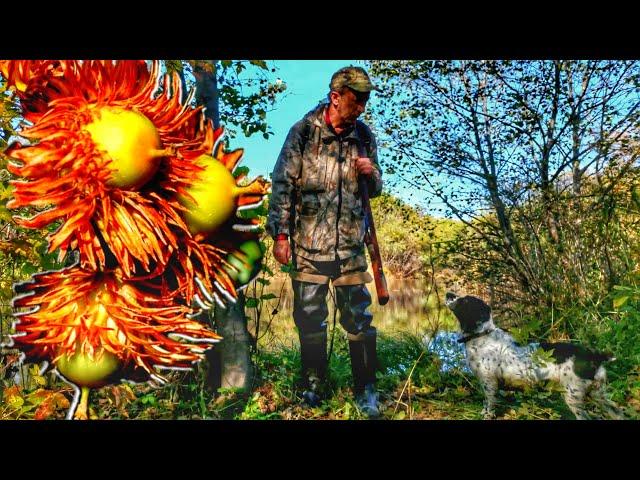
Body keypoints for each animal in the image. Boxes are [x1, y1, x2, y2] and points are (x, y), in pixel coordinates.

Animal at [444, 290, 624, 418]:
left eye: (465, 301)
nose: (448, 293)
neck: (482, 336)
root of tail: (594, 357)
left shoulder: (489, 383)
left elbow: (489, 405)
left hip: (574, 396)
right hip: (598, 394)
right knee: (619, 413)